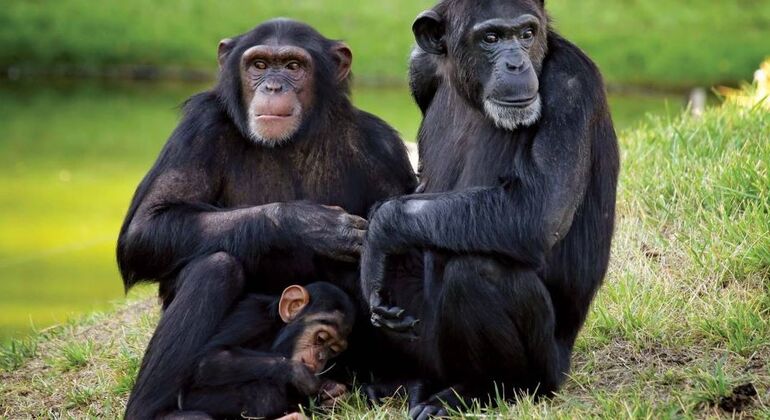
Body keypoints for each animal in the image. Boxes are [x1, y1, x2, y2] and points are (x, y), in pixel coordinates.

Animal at [164, 282, 356, 420]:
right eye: (321, 338)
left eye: (333, 350)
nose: (321, 357)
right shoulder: (251, 316)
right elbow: (210, 359)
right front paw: (300, 374)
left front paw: (333, 392)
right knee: (267, 394)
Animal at [358, 0, 616, 416]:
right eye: (491, 38)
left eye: (526, 34)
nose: (515, 63)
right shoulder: (420, 67)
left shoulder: (572, 86)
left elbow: (538, 211)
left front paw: (380, 230)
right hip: (424, 348)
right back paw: (402, 381)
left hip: (549, 369)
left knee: (477, 271)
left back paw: (480, 390)